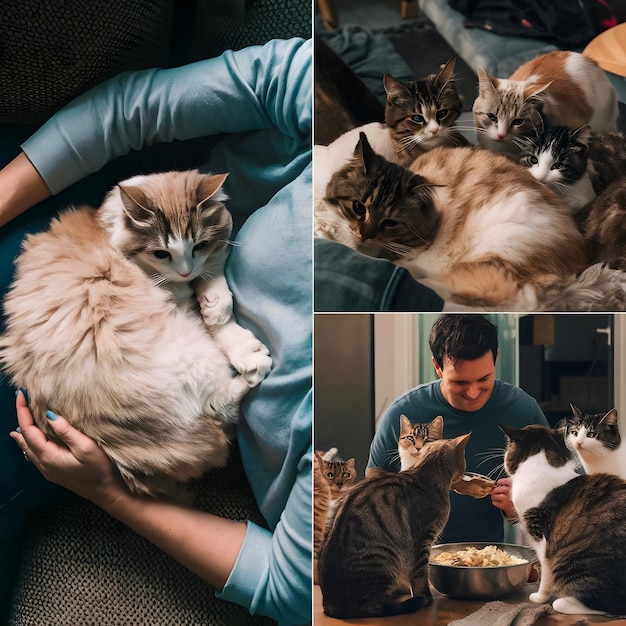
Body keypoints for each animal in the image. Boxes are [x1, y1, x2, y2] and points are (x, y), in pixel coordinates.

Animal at [0, 169, 270, 498]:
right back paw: (251, 376)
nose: (185, 272)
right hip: (190, 357)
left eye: (199, 246)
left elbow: (216, 281)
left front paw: (219, 310)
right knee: (221, 406)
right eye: (161, 253)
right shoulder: (179, 295)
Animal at [316, 432, 468, 616]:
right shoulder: (424, 538)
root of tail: (331, 606)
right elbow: (420, 576)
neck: (425, 472)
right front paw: (426, 599)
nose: (465, 472)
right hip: (385, 557)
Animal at [500, 422, 624, 612]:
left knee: (606, 605)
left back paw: (563, 602)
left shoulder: (541, 538)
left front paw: (539, 598)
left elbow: (545, 572)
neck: (542, 465)